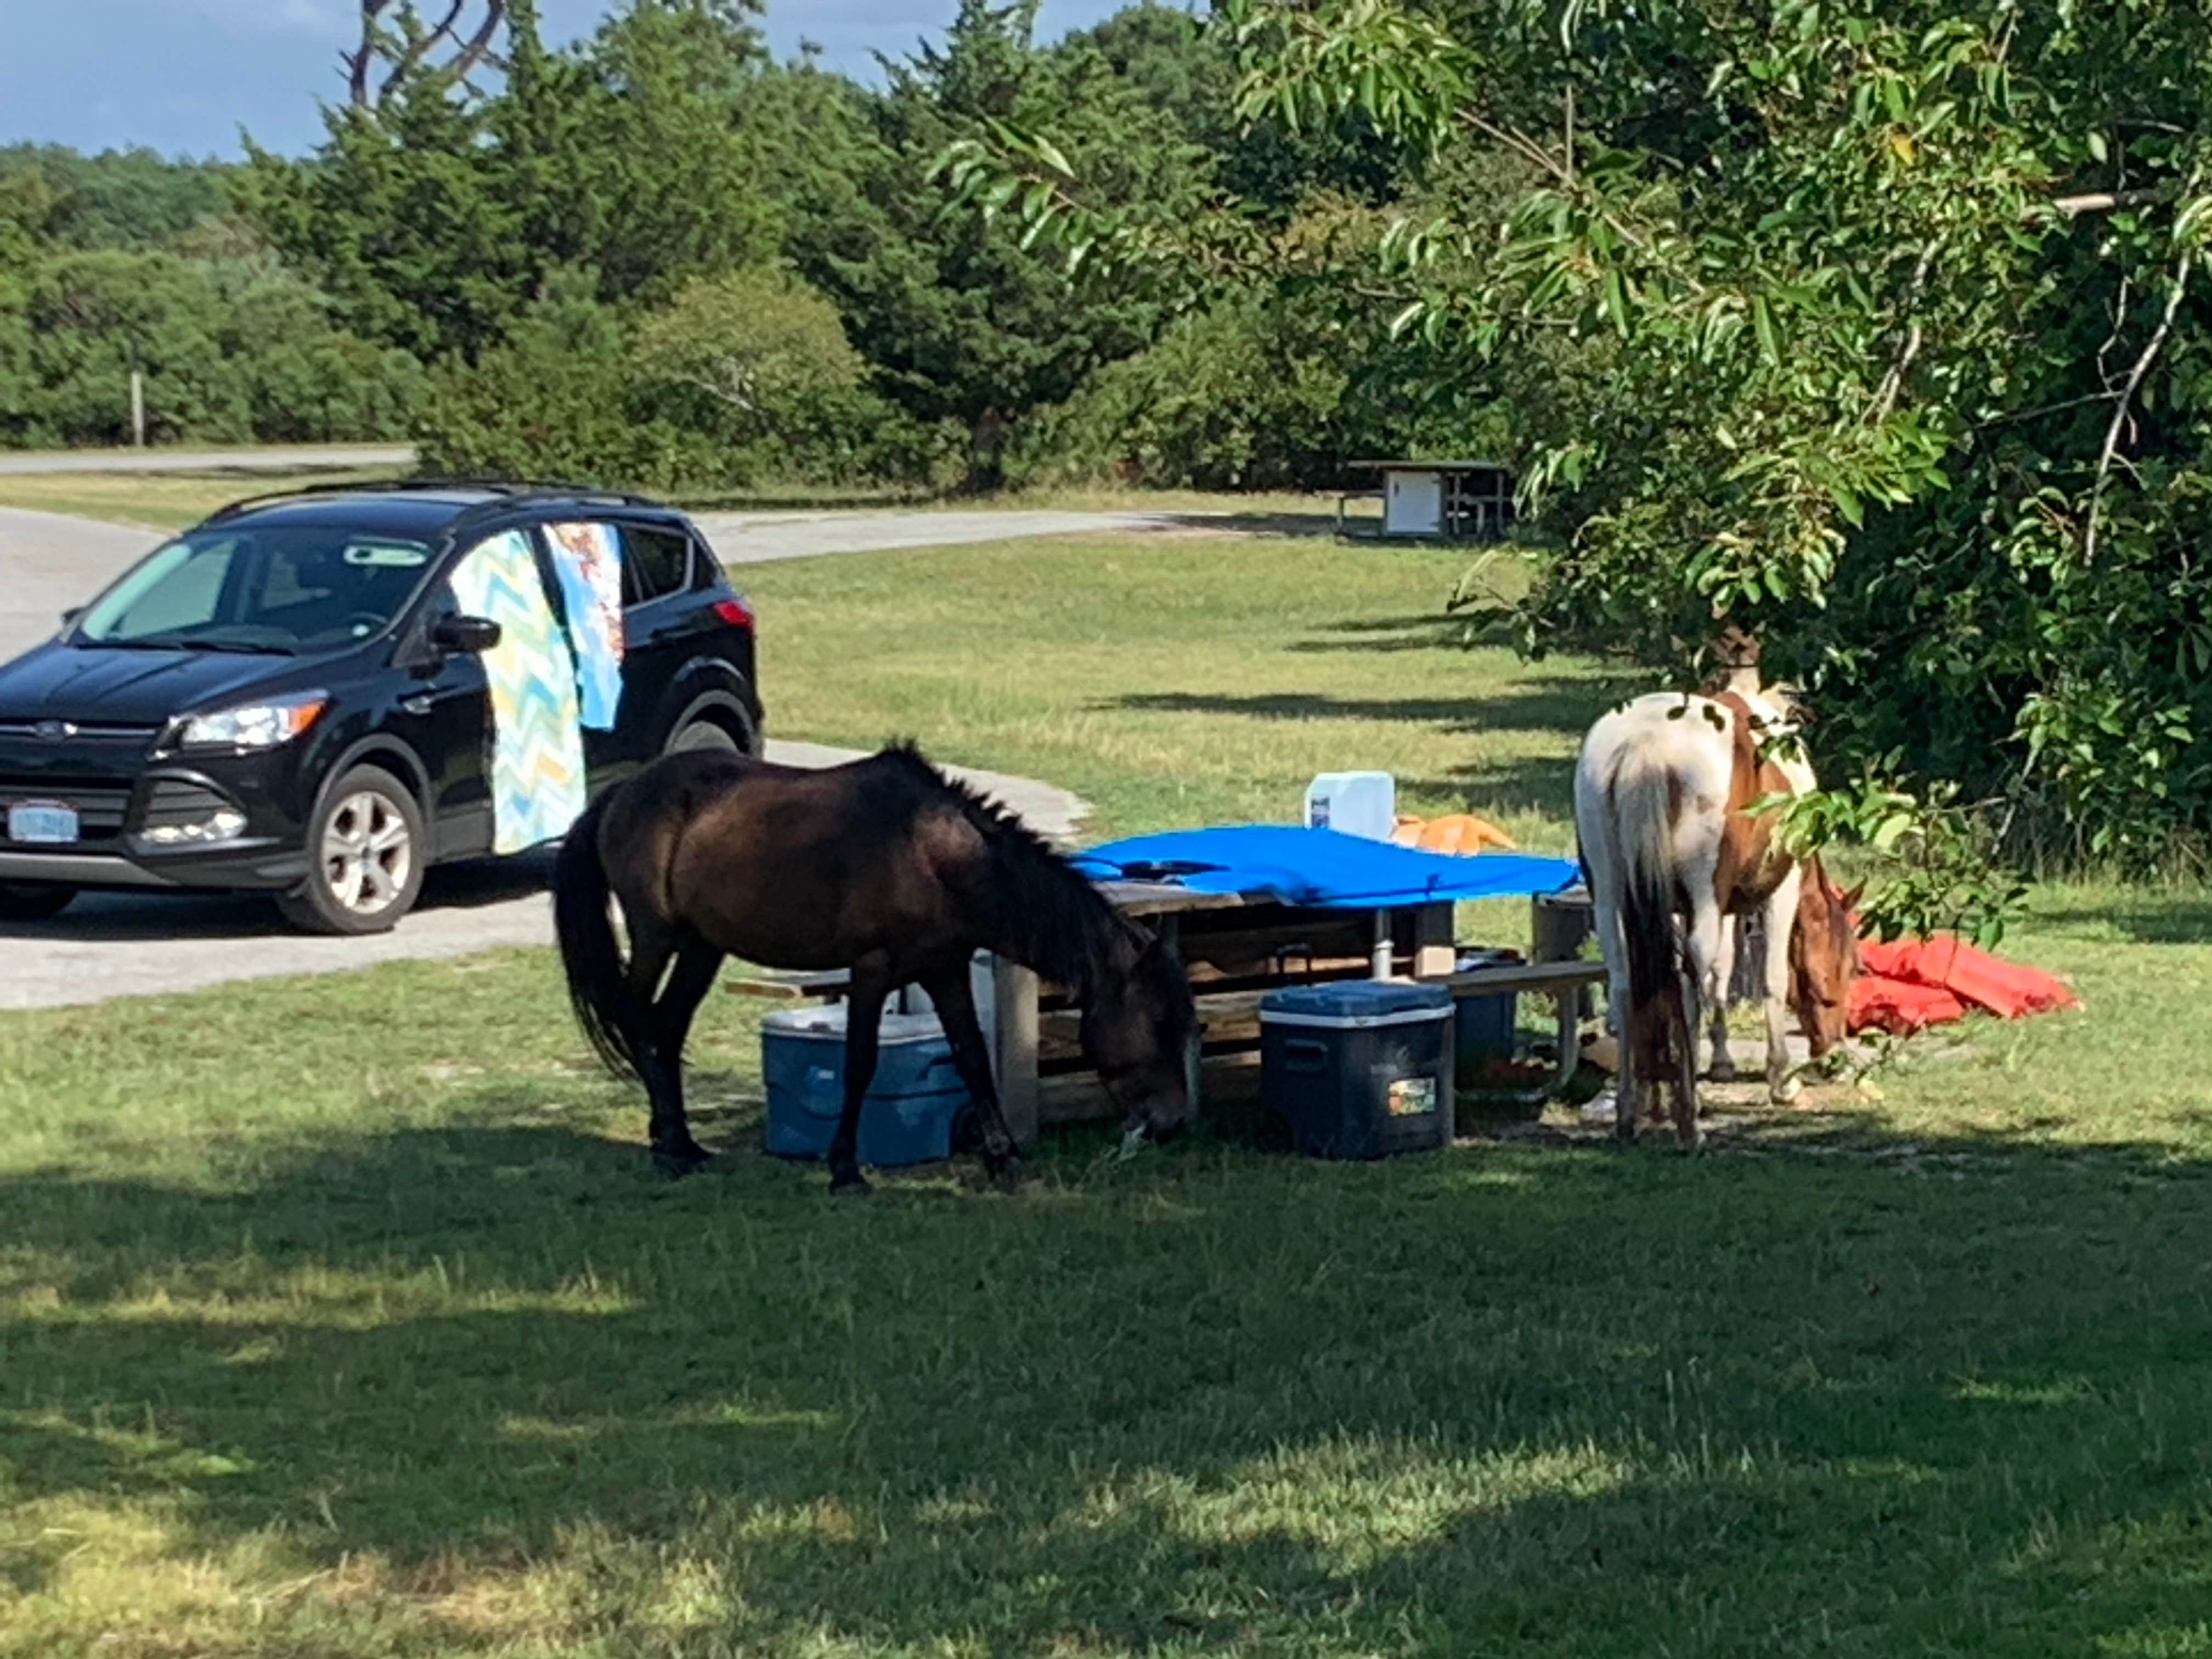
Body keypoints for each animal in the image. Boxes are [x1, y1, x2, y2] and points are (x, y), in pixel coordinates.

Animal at [551, 742, 1198, 1194]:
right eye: (1158, 1024)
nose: (1170, 1122)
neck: (932, 854)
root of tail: (621, 793)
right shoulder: (871, 969)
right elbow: (859, 1064)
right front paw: (845, 1171)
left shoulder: (944, 969)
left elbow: (973, 1057)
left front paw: (1004, 1159)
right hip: (657, 937)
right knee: (638, 1017)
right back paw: (668, 1150)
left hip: (702, 947)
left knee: (667, 1026)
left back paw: (681, 1141)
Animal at [1573, 687, 1860, 1148]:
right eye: (1846, 970)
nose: (1832, 1058)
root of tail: (1645, 741)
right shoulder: (1779, 892)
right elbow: (1771, 980)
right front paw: (1782, 1082)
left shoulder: (1696, 908)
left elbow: (1717, 977)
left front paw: (1718, 1062)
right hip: (1702, 896)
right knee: (1691, 977)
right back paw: (1689, 1117)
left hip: (1611, 896)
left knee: (1627, 982)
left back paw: (1633, 1109)